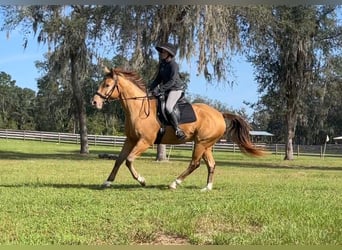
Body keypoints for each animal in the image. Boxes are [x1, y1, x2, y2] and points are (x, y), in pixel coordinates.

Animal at [91, 67, 264, 191]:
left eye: (107, 85)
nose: (94, 102)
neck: (138, 108)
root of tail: (220, 114)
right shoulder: (131, 139)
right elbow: (119, 160)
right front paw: (107, 182)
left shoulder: (145, 141)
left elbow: (129, 160)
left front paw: (142, 180)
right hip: (205, 144)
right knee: (211, 164)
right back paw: (207, 188)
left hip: (201, 143)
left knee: (195, 163)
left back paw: (174, 183)